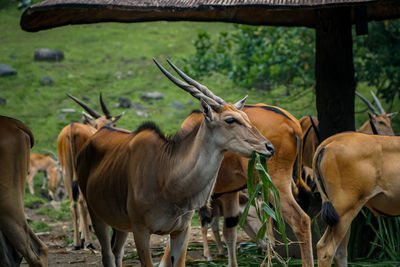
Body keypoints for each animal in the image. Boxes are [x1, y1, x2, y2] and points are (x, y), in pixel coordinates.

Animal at [56, 93, 122, 250]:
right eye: (114, 124)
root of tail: (71, 129)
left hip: (66, 171)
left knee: (73, 203)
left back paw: (77, 242)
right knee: (82, 201)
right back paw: (88, 241)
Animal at [75, 59, 276, 267]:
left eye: (246, 117)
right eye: (230, 120)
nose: (269, 147)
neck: (168, 177)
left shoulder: (181, 231)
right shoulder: (140, 231)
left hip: (120, 225)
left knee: (117, 253)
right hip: (97, 215)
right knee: (107, 255)